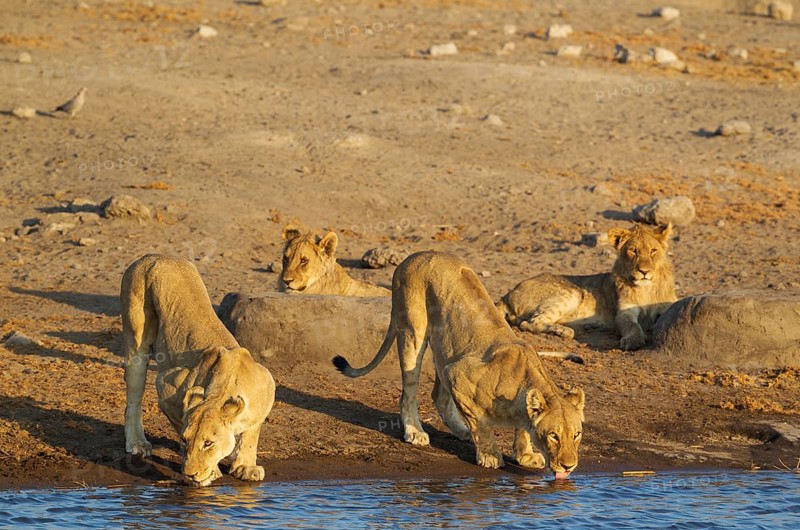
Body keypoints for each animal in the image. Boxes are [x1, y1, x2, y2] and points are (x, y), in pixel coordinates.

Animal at [121, 254, 276, 487]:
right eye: (186, 440)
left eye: (209, 443)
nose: (189, 473)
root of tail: (153, 256)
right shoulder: (166, 386)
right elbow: (179, 420)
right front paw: (209, 473)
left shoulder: (266, 388)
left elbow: (251, 434)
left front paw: (245, 467)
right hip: (136, 337)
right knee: (133, 397)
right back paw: (138, 443)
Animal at [333, 251, 585, 478]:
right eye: (553, 435)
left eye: (576, 435)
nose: (569, 466)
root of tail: (412, 257)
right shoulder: (458, 375)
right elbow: (481, 425)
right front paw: (490, 456)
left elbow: (521, 428)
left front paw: (525, 455)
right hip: (414, 333)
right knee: (409, 394)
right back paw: (415, 432)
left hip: (446, 348)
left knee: (438, 395)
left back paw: (461, 431)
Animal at [497, 223, 677, 351]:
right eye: (633, 250)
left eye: (653, 251)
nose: (644, 271)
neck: (647, 289)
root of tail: (507, 294)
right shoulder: (624, 312)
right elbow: (632, 325)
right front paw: (633, 340)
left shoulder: (667, 308)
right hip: (571, 293)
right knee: (529, 323)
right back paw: (563, 331)